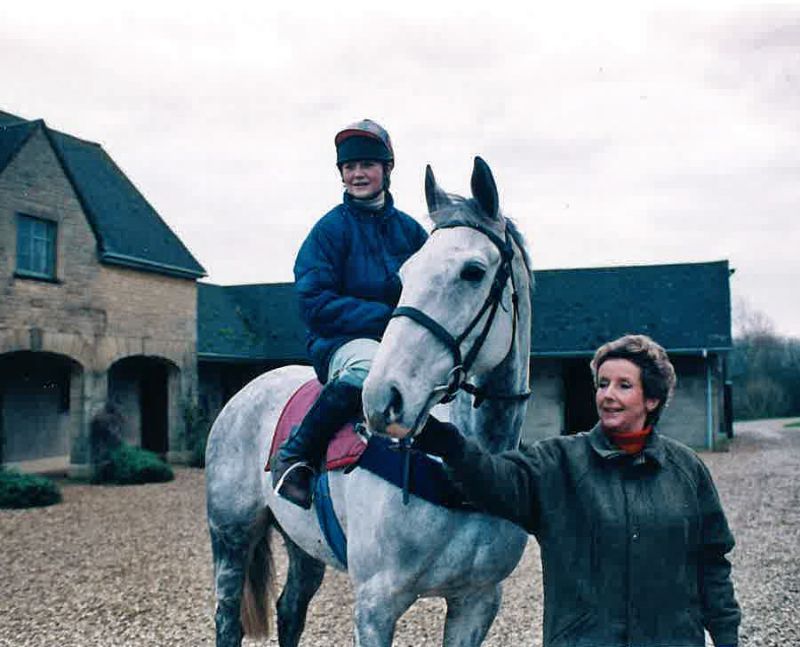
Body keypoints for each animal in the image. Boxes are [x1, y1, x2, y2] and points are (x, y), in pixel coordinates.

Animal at [205, 157, 532, 647]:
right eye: (405, 275)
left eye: (473, 271)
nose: (382, 399)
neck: (460, 461)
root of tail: (245, 394)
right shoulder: (377, 605)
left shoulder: (477, 601)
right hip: (231, 536)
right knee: (228, 619)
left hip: (302, 544)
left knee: (290, 609)